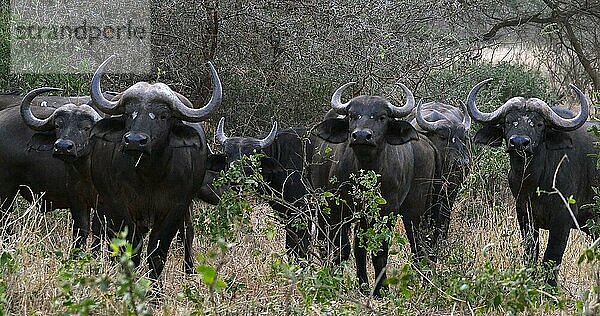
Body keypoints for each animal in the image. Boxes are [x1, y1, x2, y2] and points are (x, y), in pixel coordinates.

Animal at [89, 55, 220, 278]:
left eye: (163, 115)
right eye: (129, 114)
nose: (134, 141)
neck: (149, 176)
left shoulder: (174, 208)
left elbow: (157, 254)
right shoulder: (120, 205)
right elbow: (132, 249)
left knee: (188, 232)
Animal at [312, 81, 438, 296]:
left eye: (382, 117)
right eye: (352, 115)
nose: (362, 136)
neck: (367, 169)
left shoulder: (387, 211)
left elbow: (380, 251)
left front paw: (381, 289)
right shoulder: (339, 209)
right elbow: (342, 248)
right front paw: (336, 279)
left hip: (414, 210)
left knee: (416, 244)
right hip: (326, 207)